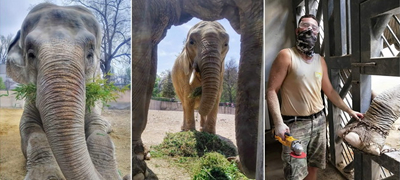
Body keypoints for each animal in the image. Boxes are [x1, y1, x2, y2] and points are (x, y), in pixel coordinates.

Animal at [5, 3, 123, 180]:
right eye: (31, 55)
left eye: (90, 54)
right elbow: (31, 131)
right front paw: (47, 176)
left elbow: (98, 132)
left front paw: (111, 175)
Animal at [132, 0, 262, 179]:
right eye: (191, 42)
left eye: (226, 44)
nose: (233, 160)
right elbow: (187, 96)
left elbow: (216, 98)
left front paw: (208, 133)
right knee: (184, 102)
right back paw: (186, 129)